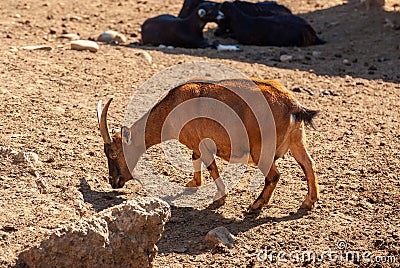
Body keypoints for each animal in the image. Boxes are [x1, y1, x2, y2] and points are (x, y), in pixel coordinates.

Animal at [98, 78, 320, 213]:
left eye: (114, 153)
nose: (113, 181)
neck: (172, 107)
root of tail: (293, 106)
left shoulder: (202, 145)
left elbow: (211, 167)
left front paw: (219, 198)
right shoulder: (197, 146)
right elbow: (195, 159)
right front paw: (193, 183)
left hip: (261, 151)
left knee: (274, 176)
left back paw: (255, 205)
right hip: (297, 141)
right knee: (309, 165)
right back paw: (308, 201)